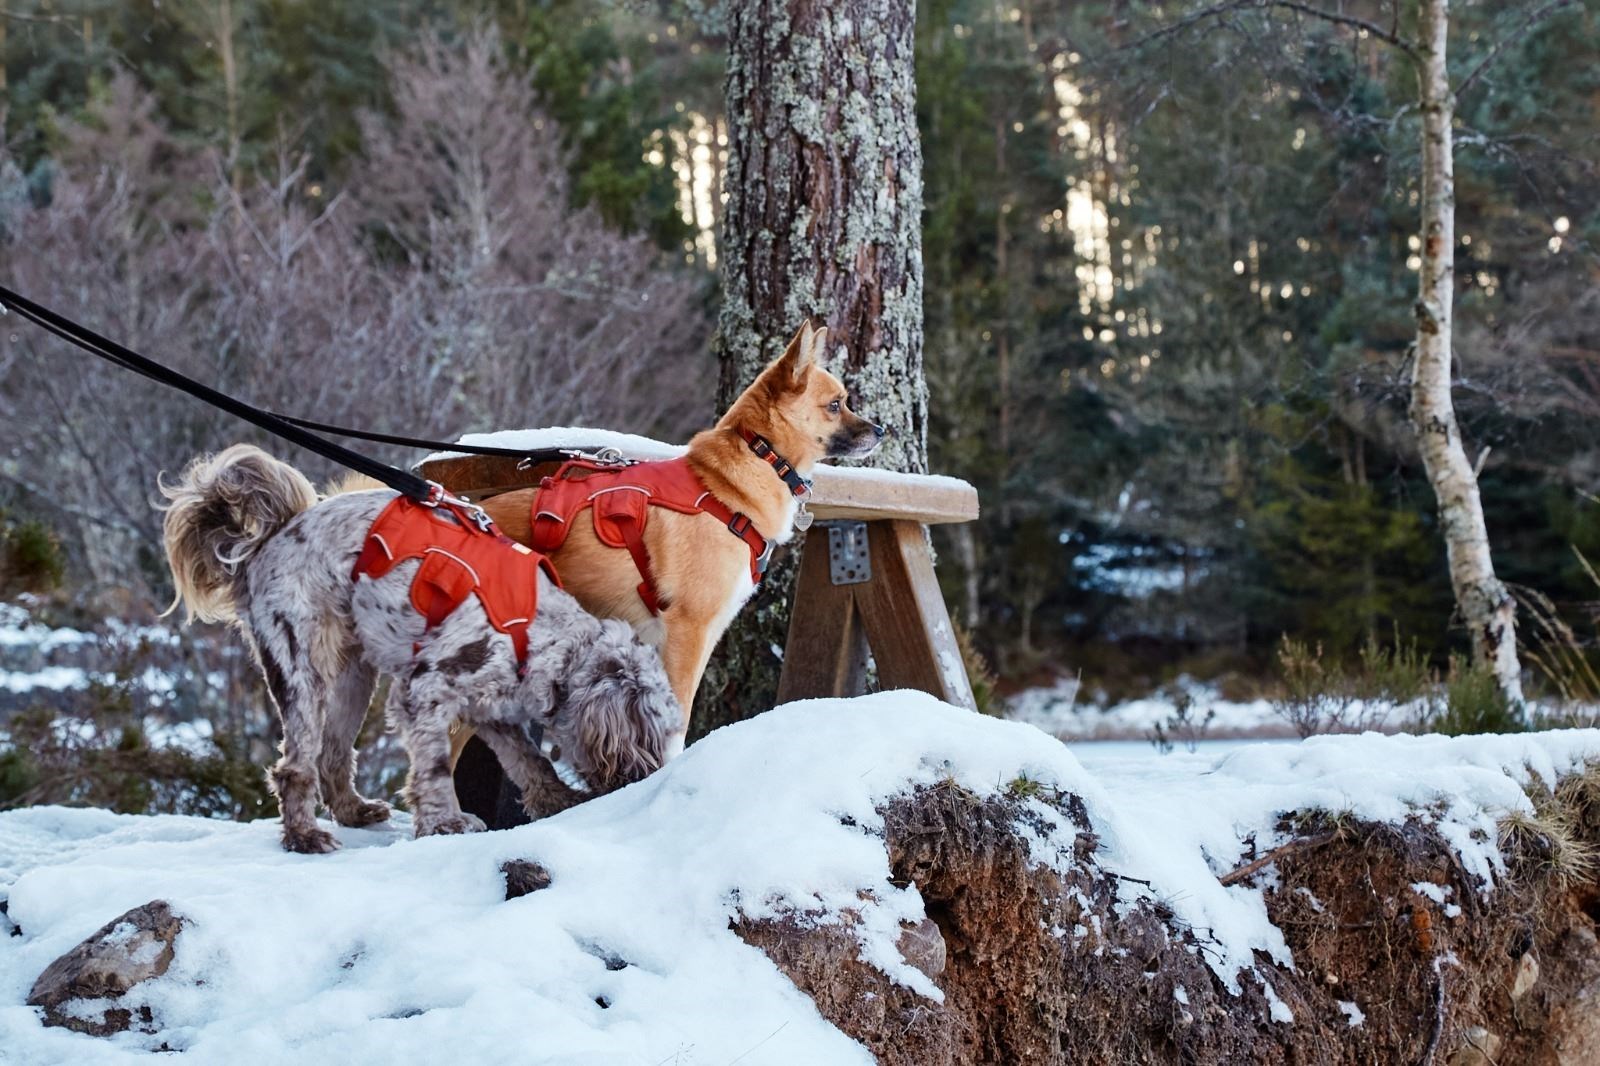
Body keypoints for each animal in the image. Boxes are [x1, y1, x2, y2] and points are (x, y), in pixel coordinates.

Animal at [152, 444, 672, 851]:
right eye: (654, 733)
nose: (646, 778)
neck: (540, 634)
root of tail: (269, 539)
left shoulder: (494, 709)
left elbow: (531, 760)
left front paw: (559, 800)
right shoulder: (425, 693)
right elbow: (437, 768)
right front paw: (445, 823)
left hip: (354, 678)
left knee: (334, 754)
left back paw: (354, 811)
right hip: (302, 669)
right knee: (294, 767)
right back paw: (305, 836)